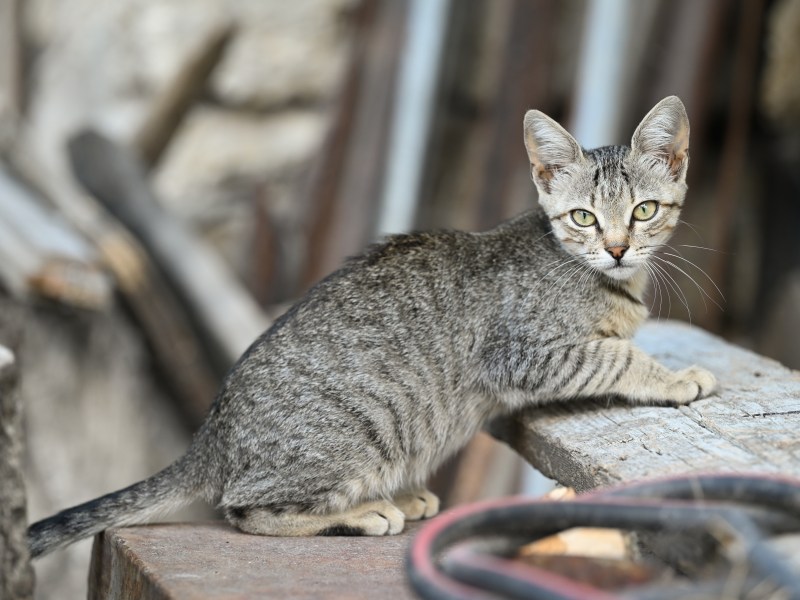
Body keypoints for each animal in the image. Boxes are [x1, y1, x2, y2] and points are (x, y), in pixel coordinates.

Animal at [25, 95, 716, 556]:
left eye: (644, 211)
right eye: (582, 218)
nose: (619, 249)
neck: (600, 278)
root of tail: (212, 435)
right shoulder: (524, 351)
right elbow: (617, 356)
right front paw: (678, 377)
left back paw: (399, 497)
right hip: (352, 437)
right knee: (243, 509)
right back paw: (366, 512)